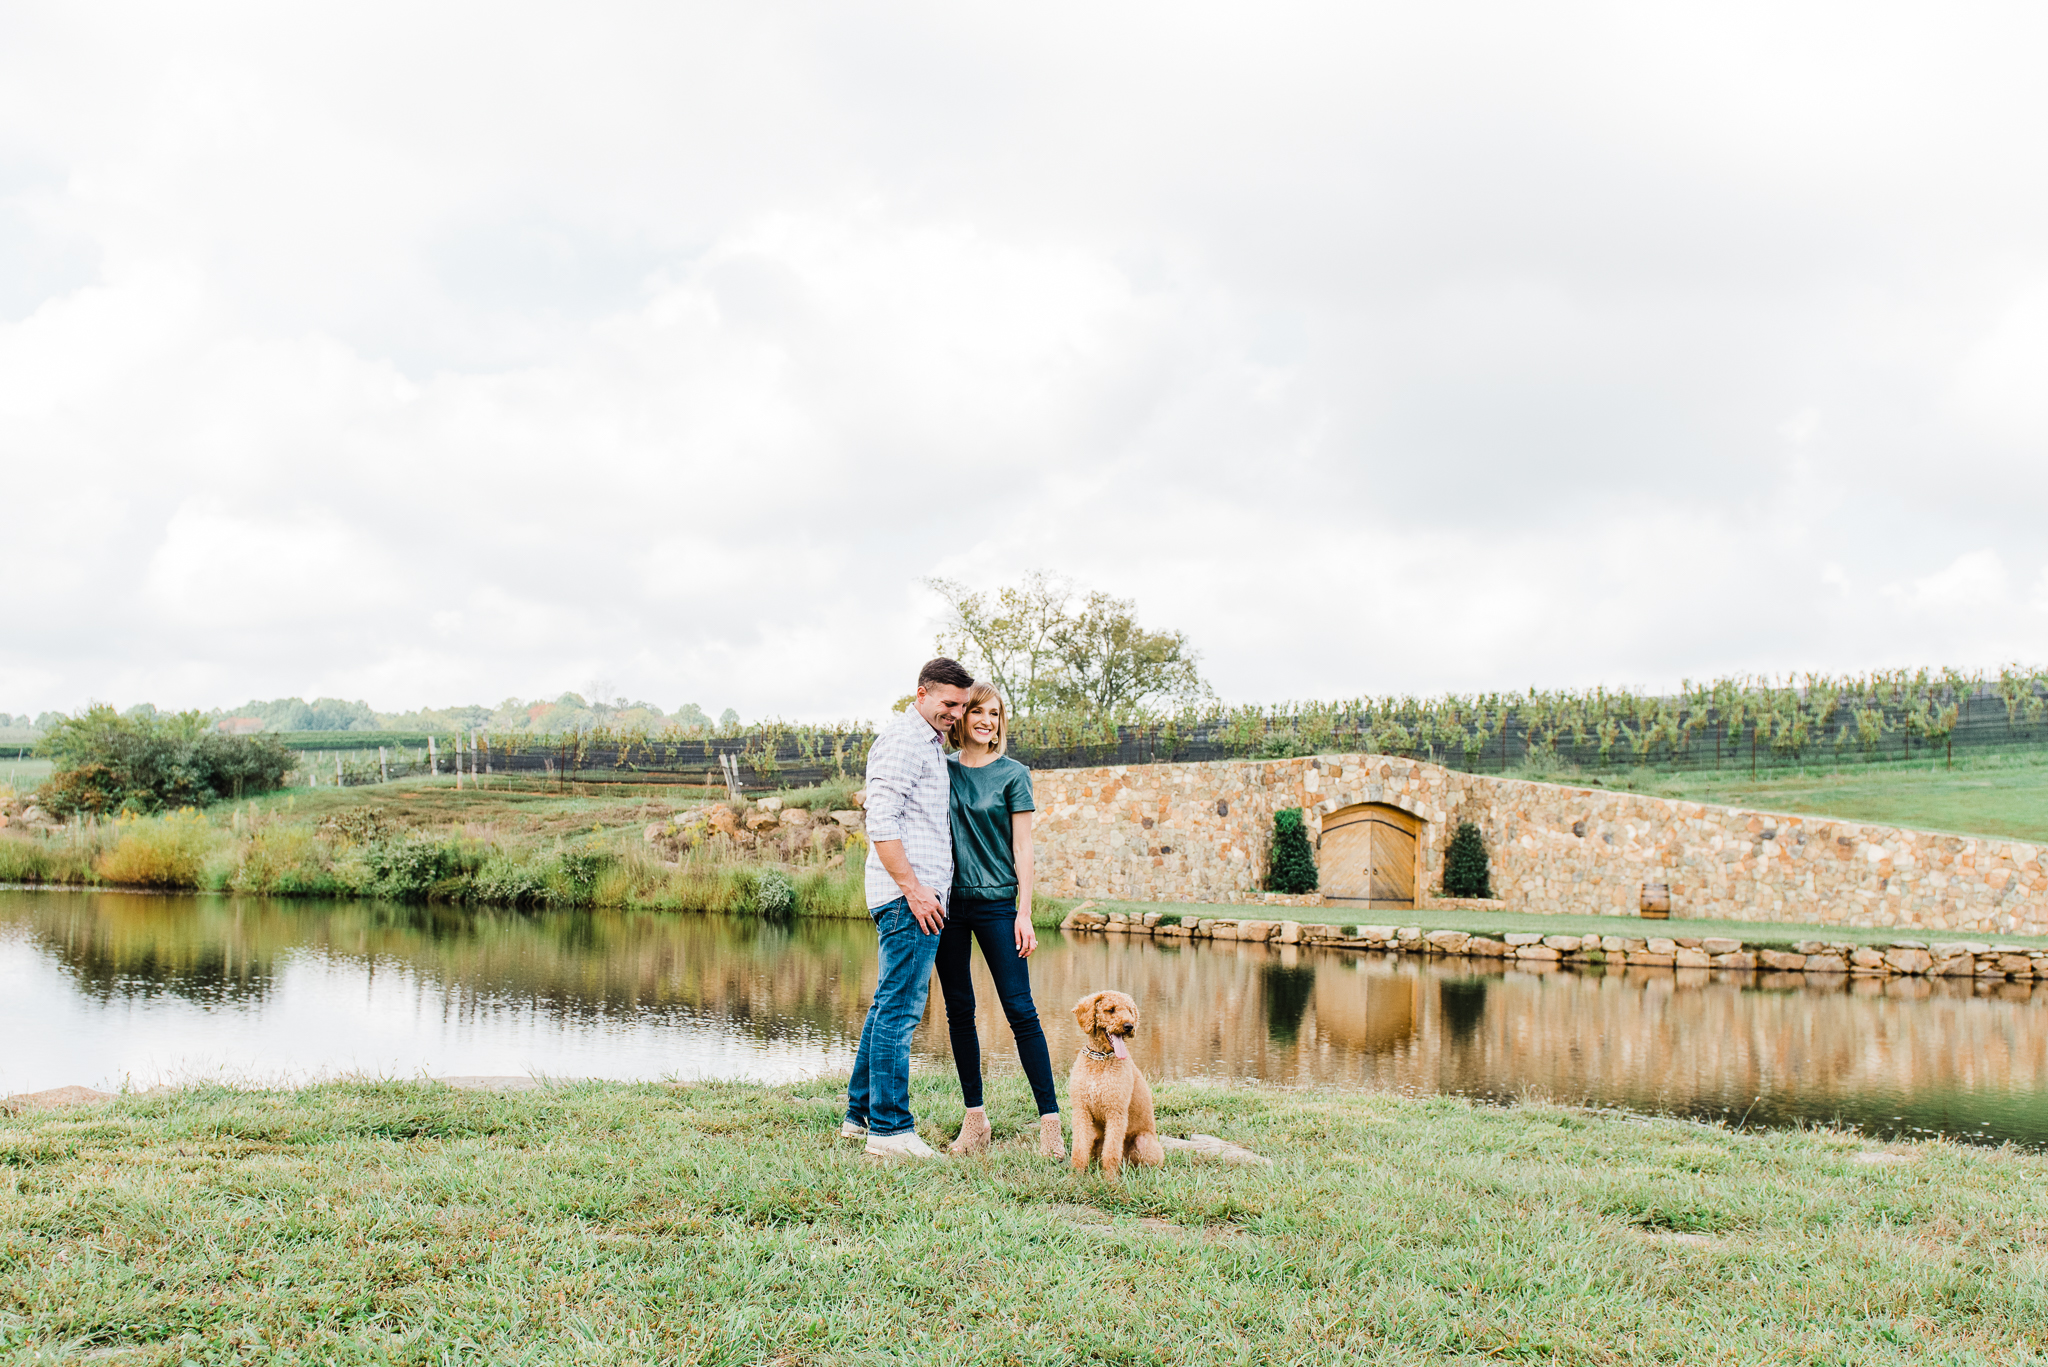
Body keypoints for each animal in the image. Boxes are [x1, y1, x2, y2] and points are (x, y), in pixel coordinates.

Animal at [1064, 996, 1163, 1180]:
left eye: (1130, 1011)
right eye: (1110, 1009)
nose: (1129, 1026)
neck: (1100, 1059)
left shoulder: (1115, 1112)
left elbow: (1111, 1151)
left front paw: (1110, 1179)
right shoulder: (1081, 1110)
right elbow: (1079, 1149)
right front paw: (1075, 1176)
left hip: (1144, 1141)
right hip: (1095, 1136)